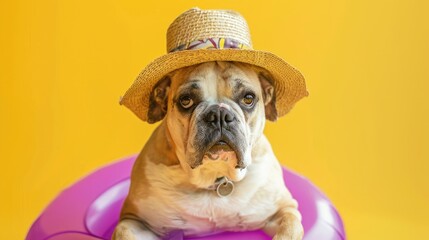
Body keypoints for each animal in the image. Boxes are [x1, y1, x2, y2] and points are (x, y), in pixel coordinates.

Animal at [112, 61, 302, 239]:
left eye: (248, 98)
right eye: (186, 100)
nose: (219, 114)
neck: (214, 176)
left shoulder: (284, 210)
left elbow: (289, 229)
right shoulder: (134, 220)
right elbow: (123, 232)